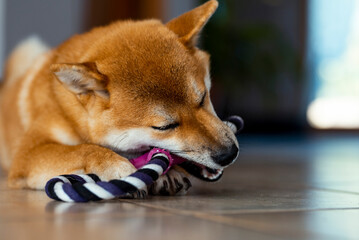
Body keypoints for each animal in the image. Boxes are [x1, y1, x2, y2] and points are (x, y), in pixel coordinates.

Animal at [1, 0, 240, 195]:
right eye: (164, 127)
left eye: (203, 98)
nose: (228, 154)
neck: (69, 114)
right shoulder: (28, 154)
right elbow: (81, 149)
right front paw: (117, 166)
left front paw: (167, 174)